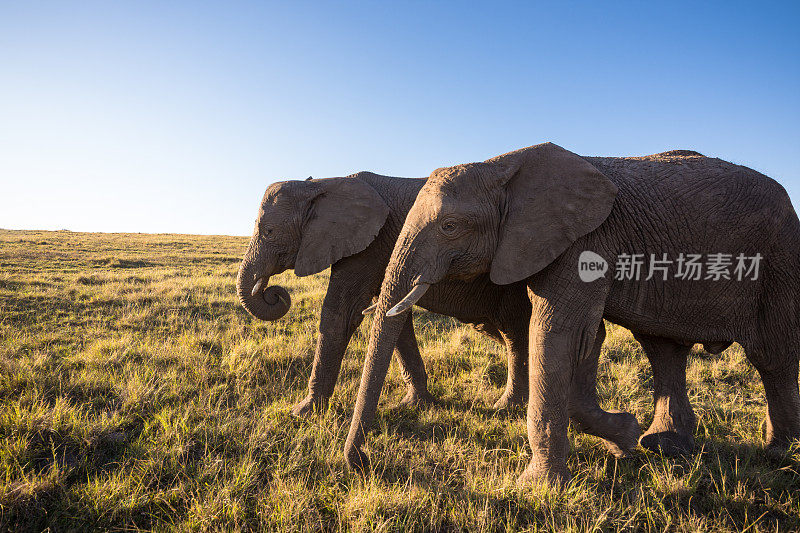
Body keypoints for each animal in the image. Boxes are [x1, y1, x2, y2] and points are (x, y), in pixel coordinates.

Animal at [346, 143, 800, 484]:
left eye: (450, 227)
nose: (362, 463)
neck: (503, 165)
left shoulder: (587, 241)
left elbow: (557, 333)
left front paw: (540, 486)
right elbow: (584, 337)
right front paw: (625, 439)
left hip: (779, 258)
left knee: (771, 355)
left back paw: (779, 454)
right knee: (663, 350)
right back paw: (665, 446)